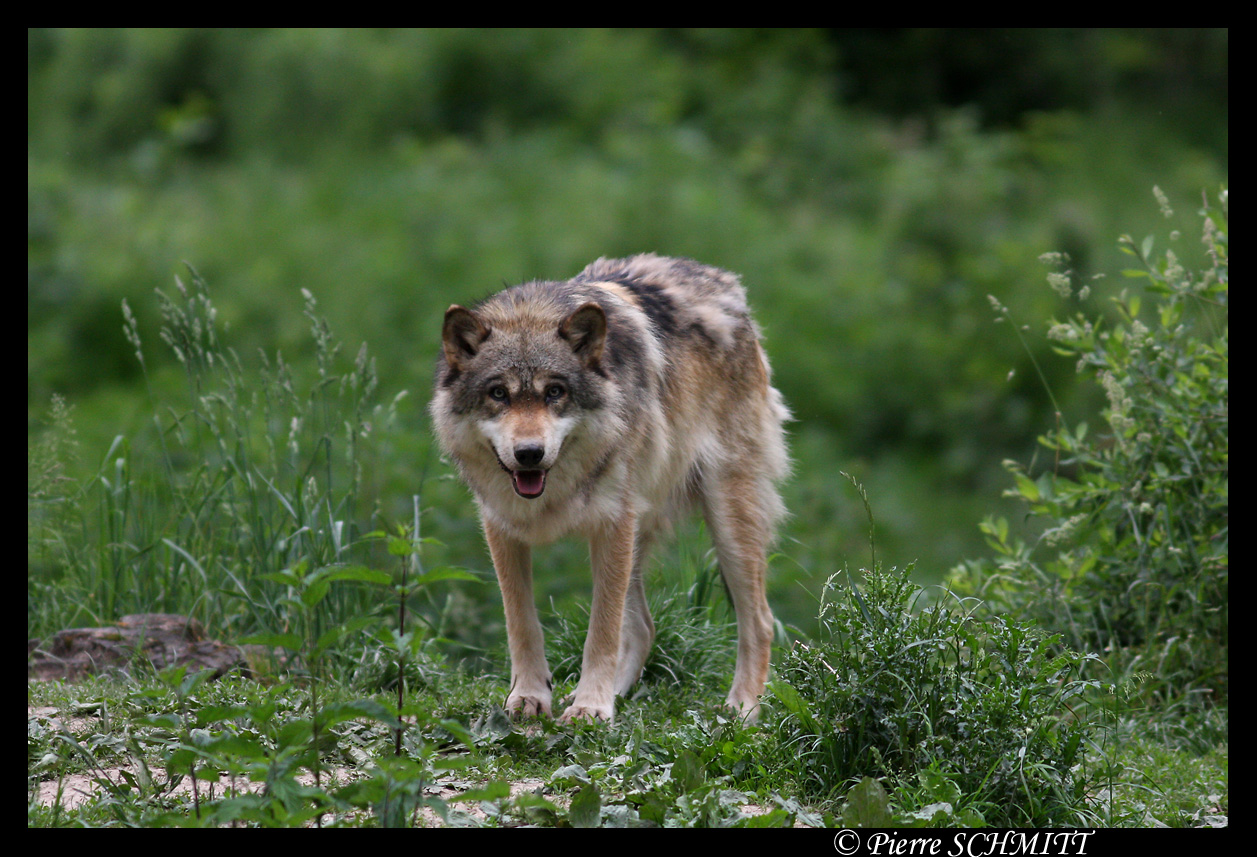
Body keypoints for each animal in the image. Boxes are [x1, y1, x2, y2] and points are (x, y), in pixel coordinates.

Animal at [429, 253, 784, 718]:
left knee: (759, 621)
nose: (529, 453)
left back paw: (742, 708)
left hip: (726, 524)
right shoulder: (502, 528)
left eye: (555, 391)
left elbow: (602, 629)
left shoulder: (611, 524)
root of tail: (725, 283)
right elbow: (521, 623)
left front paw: (591, 707)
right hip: (641, 533)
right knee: (645, 627)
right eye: (498, 394)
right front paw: (530, 696)